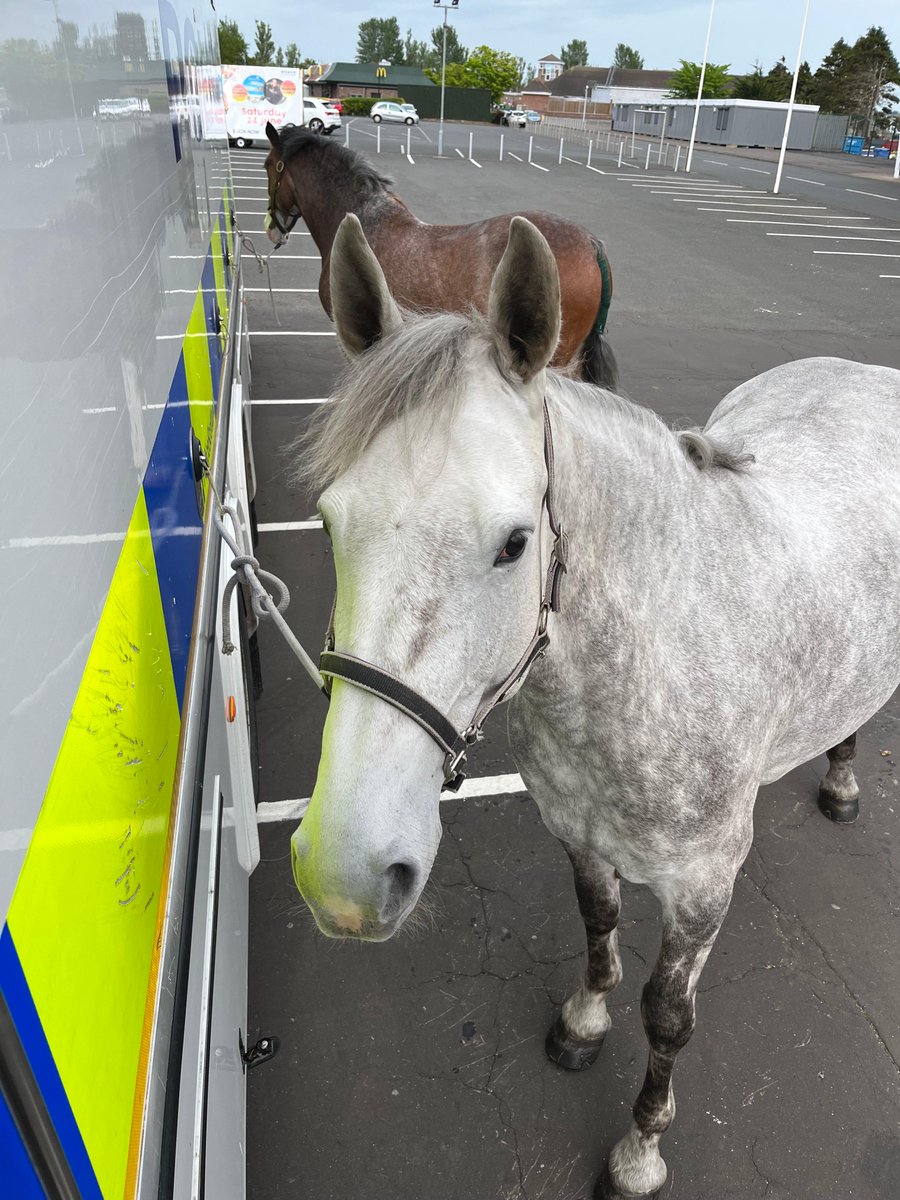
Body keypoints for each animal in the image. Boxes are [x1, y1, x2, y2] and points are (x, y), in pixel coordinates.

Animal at [288, 213, 900, 1199]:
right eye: (329, 520)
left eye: (513, 542)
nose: (344, 878)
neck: (648, 660)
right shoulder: (577, 832)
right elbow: (598, 927)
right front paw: (582, 1023)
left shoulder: (703, 888)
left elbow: (668, 1016)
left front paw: (639, 1152)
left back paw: (843, 783)